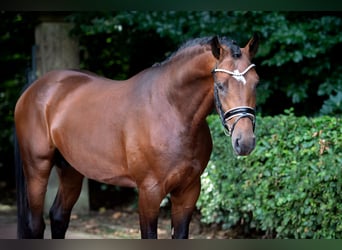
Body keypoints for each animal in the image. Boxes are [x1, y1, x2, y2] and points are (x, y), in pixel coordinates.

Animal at [14, 33, 260, 238]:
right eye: (221, 85)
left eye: (256, 82)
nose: (245, 141)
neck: (172, 110)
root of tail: (34, 88)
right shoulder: (149, 192)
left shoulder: (188, 190)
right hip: (37, 168)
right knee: (36, 225)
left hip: (71, 170)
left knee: (58, 217)